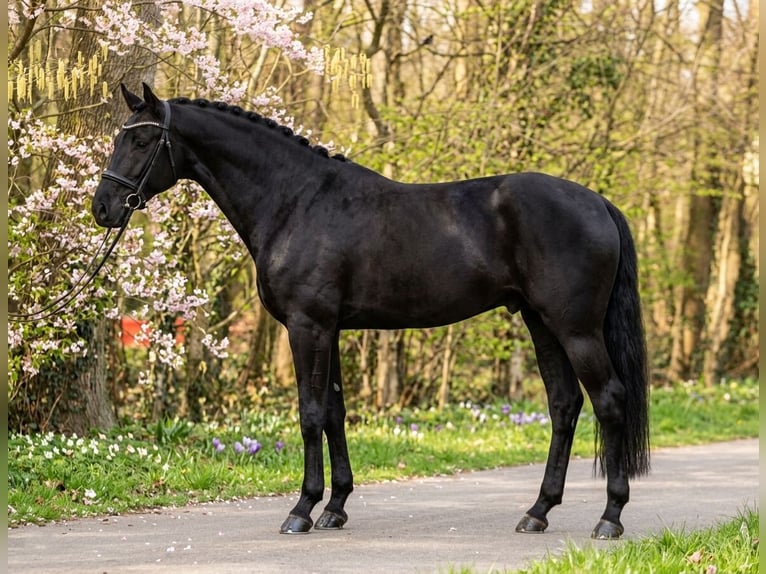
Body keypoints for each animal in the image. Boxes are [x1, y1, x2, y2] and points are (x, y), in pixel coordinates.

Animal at [93, 83, 650, 540]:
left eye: (142, 141)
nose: (102, 208)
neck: (295, 201)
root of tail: (598, 203)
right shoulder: (331, 329)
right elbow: (334, 412)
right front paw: (335, 507)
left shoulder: (308, 327)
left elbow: (310, 414)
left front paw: (301, 509)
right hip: (541, 324)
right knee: (564, 406)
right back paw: (537, 512)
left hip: (576, 329)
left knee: (609, 400)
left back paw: (610, 518)